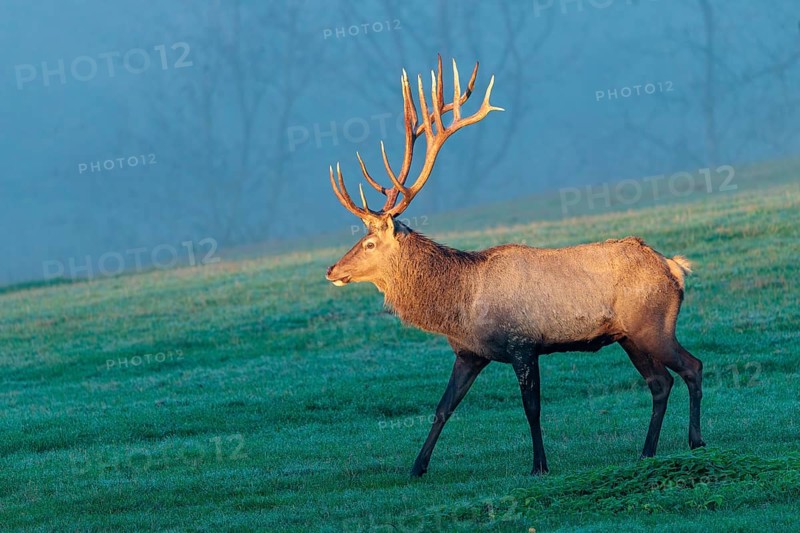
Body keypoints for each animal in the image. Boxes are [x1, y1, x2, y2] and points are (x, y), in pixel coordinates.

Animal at [325, 55, 705, 477]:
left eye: (369, 242)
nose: (332, 270)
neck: (462, 305)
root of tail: (674, 267)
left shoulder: (522, 343)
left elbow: (531, 408)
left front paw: (539, 465)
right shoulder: (469, 353)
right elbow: (442, 408)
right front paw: (416, 467)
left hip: (653, 324)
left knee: (693, 367)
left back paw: (696, 441)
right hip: (628, 335)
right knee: (660, 382)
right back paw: (647, 451)